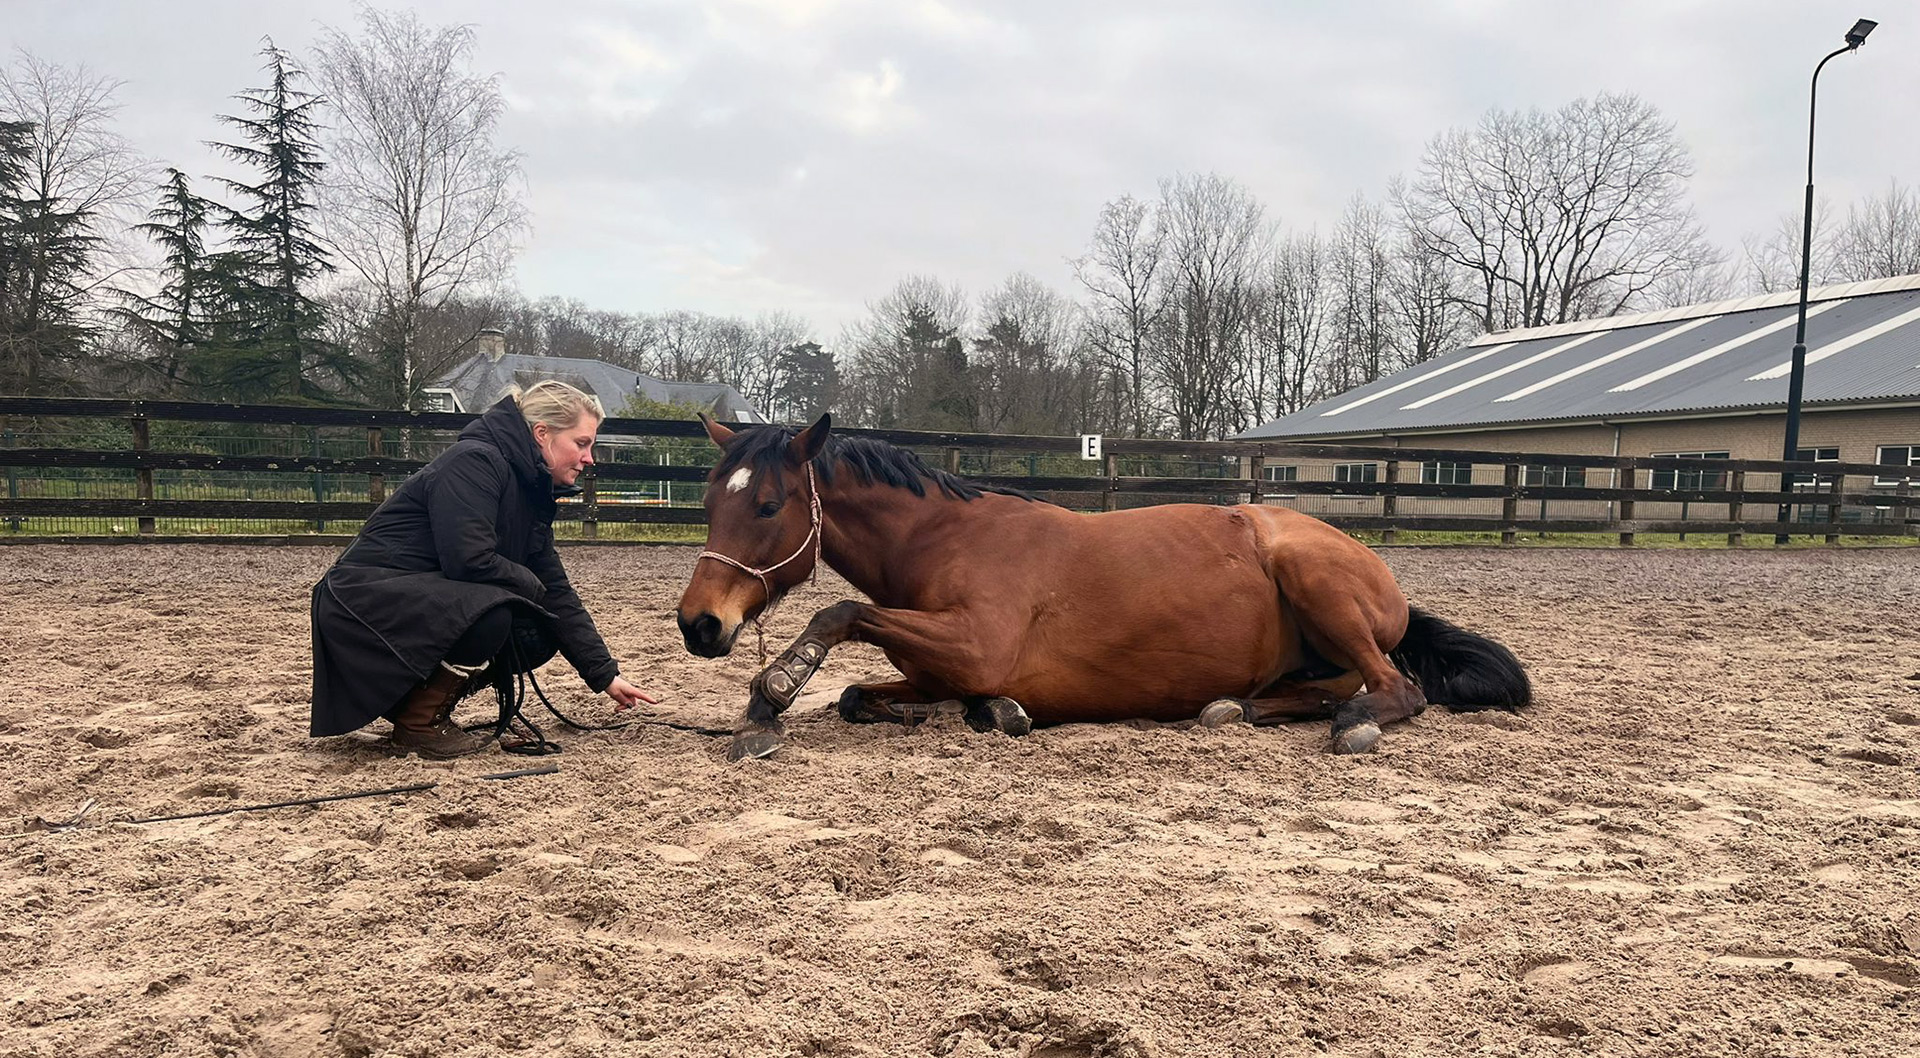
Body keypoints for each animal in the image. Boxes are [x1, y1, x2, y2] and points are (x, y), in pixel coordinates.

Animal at [675, 414, 1530, 761]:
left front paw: (770, 697)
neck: (944, 541)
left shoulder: (977, 645)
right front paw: (990, 713)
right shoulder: (934, 663)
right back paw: (1237, 708)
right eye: (711, 499)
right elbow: (861, 694)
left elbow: (842, 610)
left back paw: (1352, 724)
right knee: (1315, 690)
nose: (698, 624)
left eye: (767, 505)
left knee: (1390, 689)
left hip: (1313, 578)